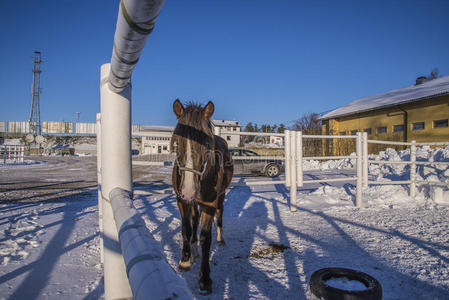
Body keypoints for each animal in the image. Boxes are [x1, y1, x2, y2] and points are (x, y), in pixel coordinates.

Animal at [171, 98, 233, 292]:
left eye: (206, 143)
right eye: (177, 142)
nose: (189, 190)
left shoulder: (209, 204)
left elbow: (206, 237)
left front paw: (205, 278)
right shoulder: (181, 200)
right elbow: (187, 228)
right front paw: (185, 259)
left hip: (220, 196)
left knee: (220, 214)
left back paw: (221, 238)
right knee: (194, 219)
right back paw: (193, 250)